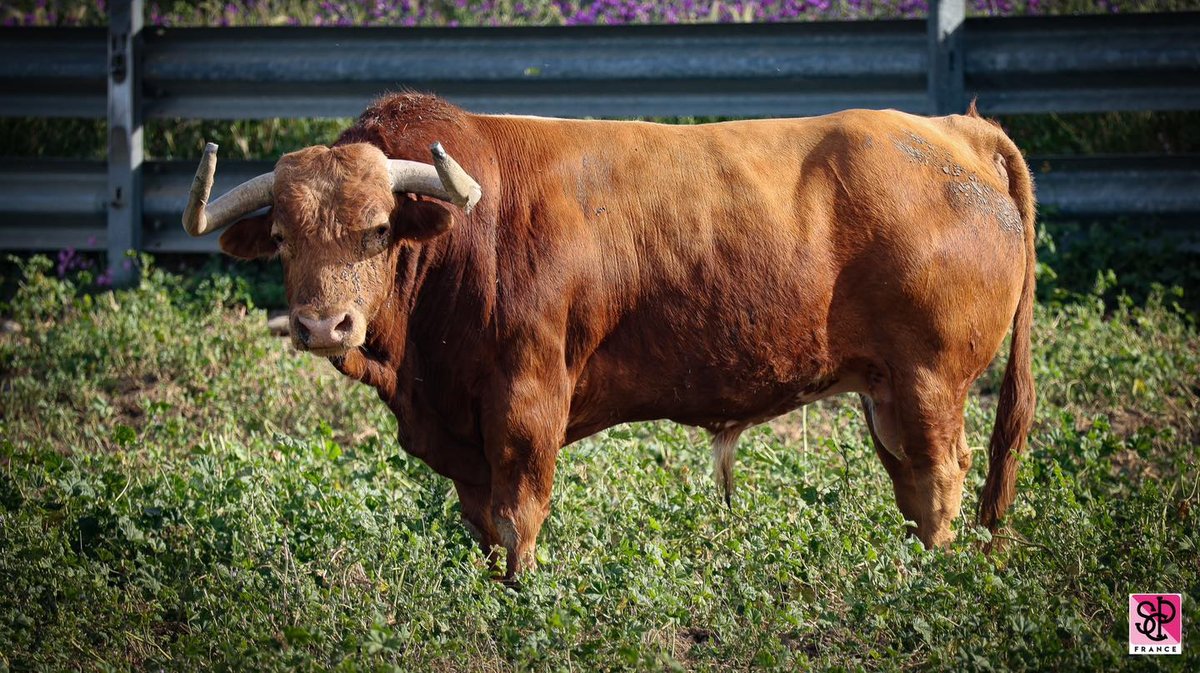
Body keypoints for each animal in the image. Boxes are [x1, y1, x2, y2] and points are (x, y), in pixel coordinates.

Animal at [182, 92, 1036, 578]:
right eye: (284, 239)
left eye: (378, 227)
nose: (323, 324)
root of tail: (952, 130)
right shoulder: (464, 435)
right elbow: (481, 521)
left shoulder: (526, 402)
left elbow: (517, 517)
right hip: (884, 389)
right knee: (911, 481)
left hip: (929, 379)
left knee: (939, 479)